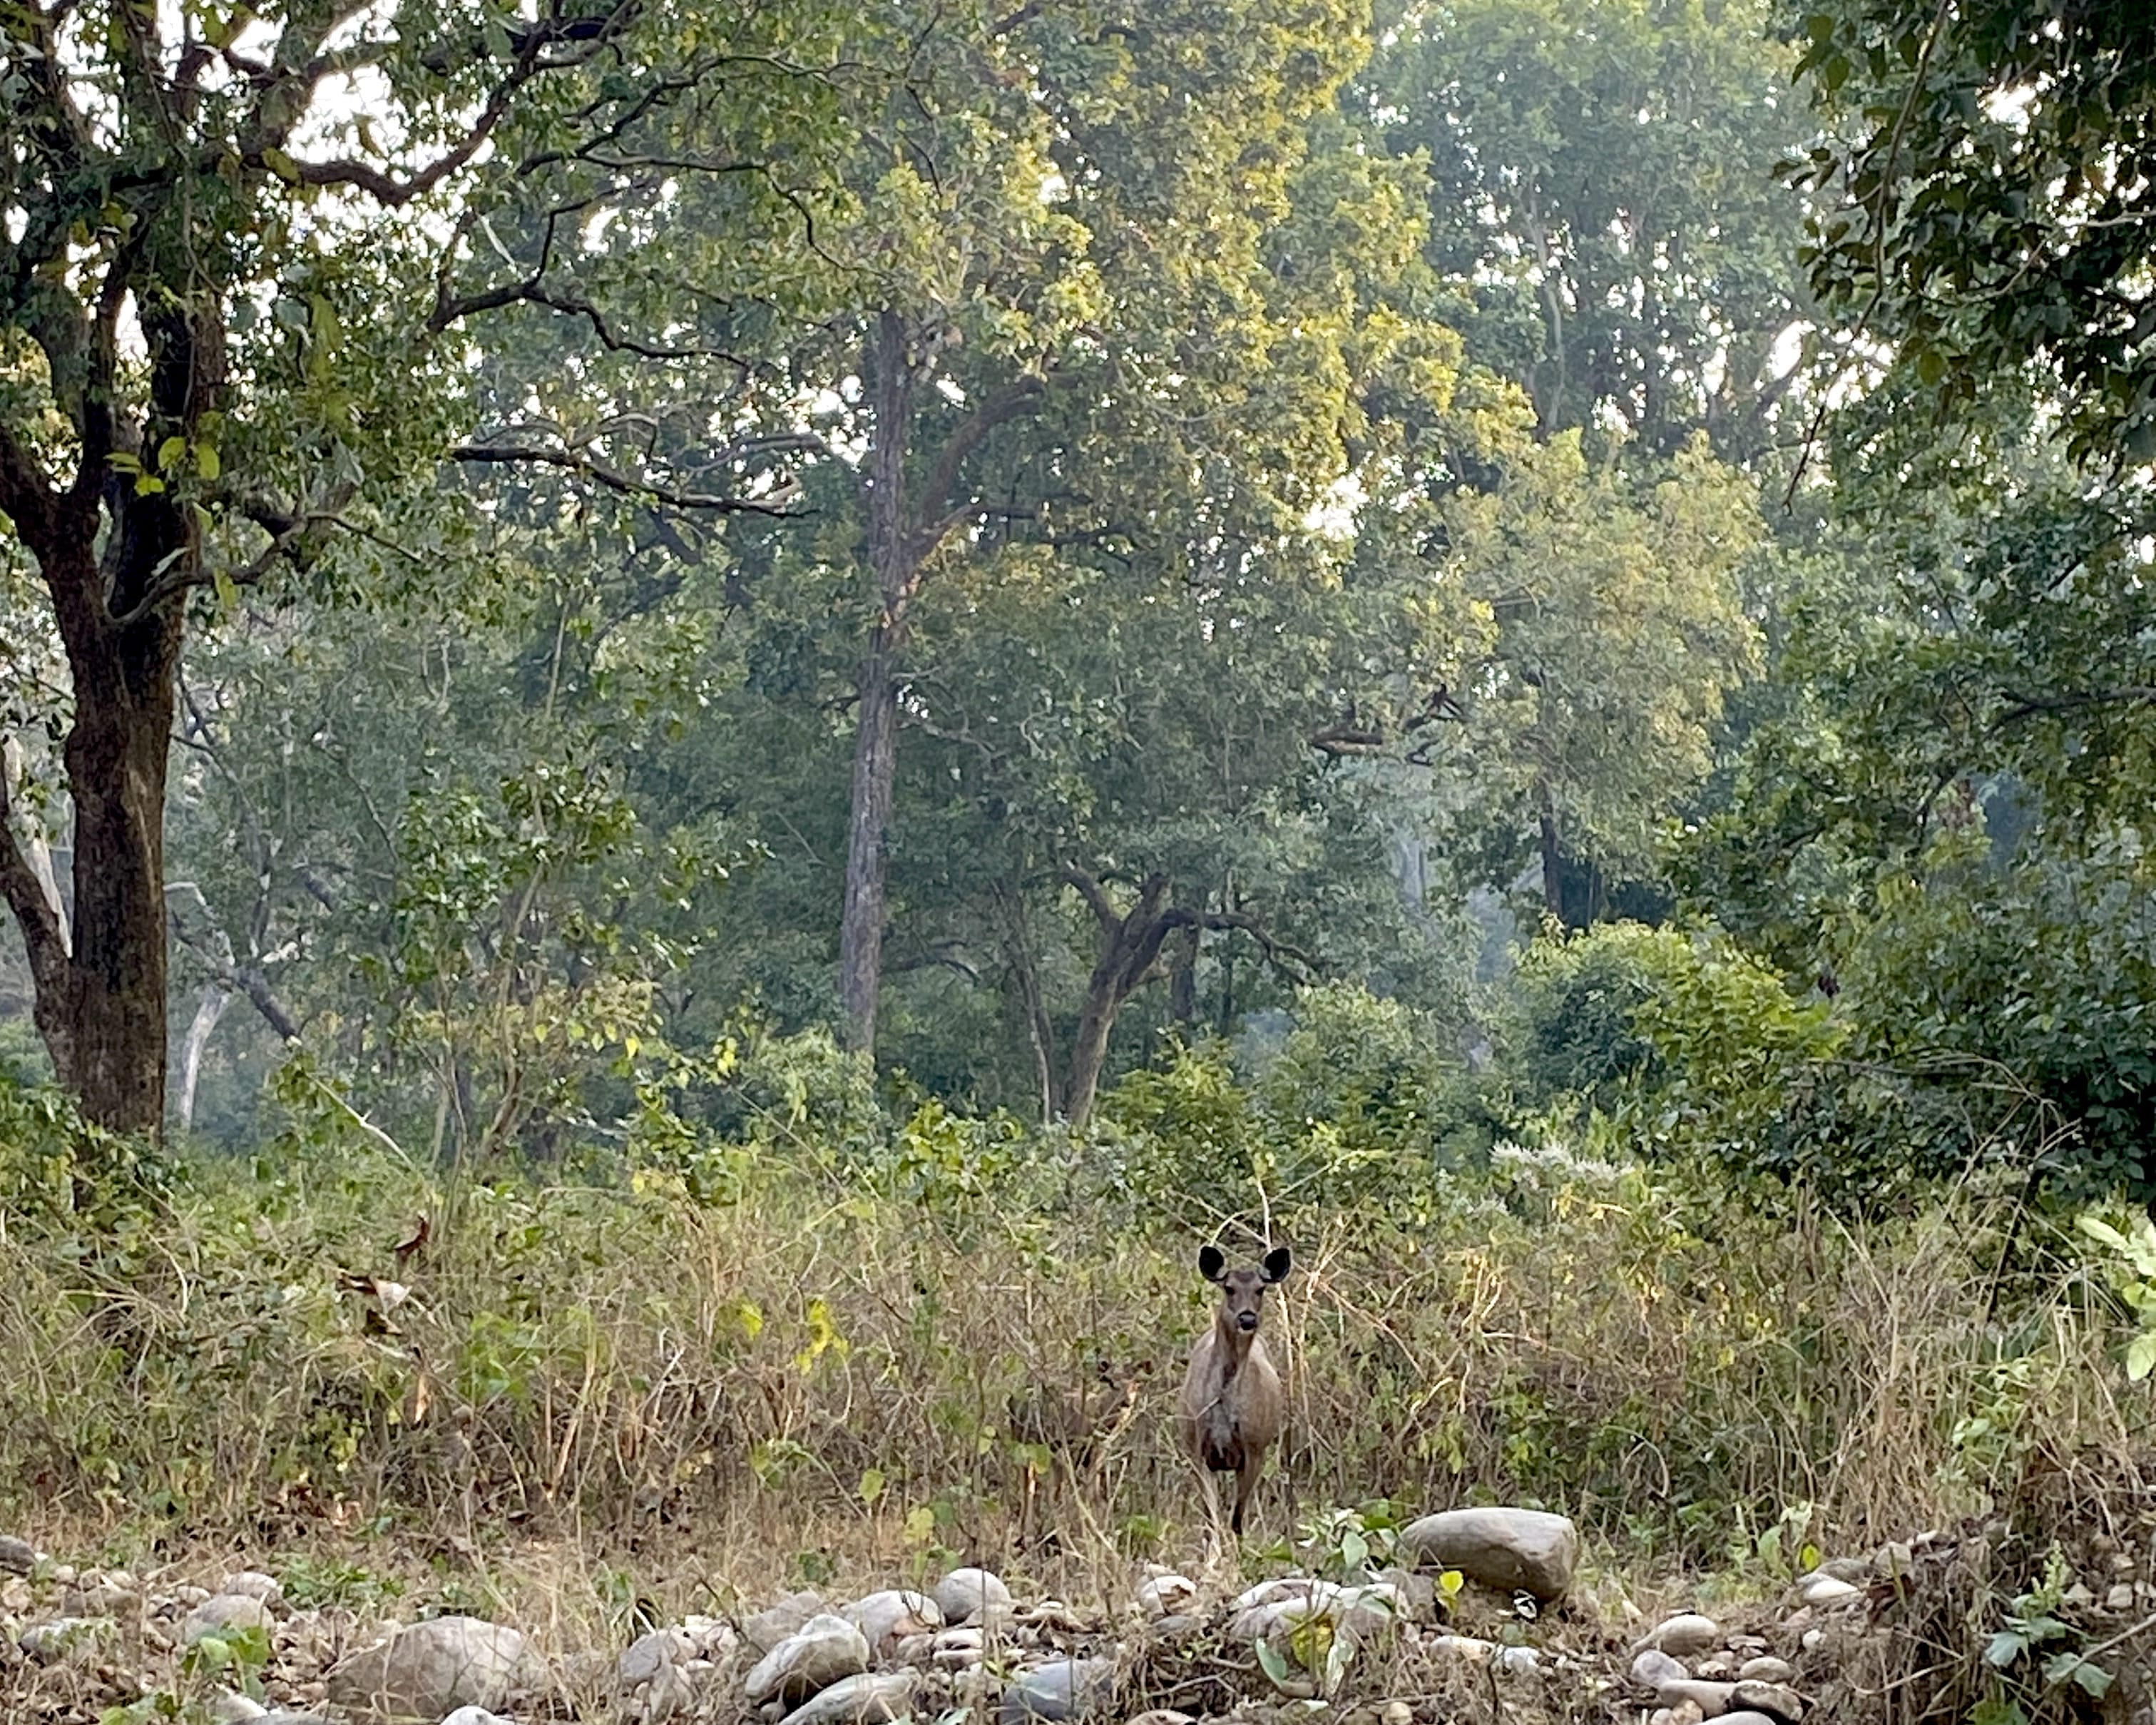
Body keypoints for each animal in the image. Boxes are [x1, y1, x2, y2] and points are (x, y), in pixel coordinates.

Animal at [1176, 1242, 1292, 1541]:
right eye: (1228, 1288)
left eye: (1260, 1289)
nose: (1248, 1318)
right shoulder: (1197, 1448)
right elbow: (1210, 1520)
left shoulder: (1254, 1448)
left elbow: (1237, 1521)